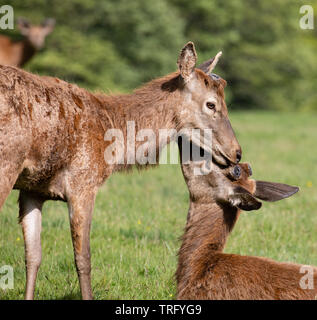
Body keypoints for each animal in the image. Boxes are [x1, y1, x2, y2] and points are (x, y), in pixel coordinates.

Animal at [0, 41, 239, 298]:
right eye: (211, 104)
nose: (237, 152)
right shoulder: (82, 183)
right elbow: (83, 259)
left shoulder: (33, 190)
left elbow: (33, 257)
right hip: (7, 164)